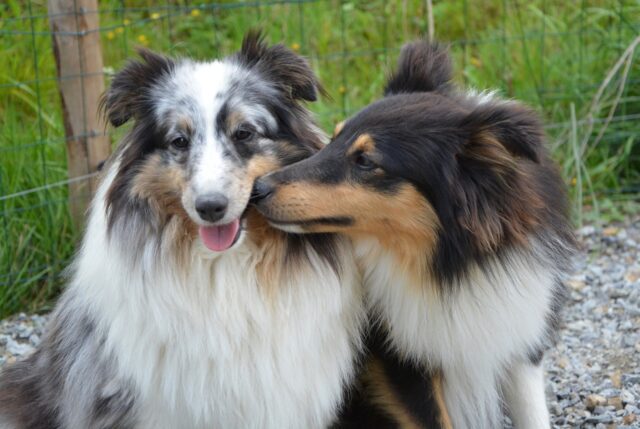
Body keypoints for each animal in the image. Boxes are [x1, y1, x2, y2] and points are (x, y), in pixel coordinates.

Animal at [251, 41, 576, 428]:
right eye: (333, 138)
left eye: (365, 161)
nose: (257, 189)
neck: (450, 266)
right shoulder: (400, 362)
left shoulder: (520, 339)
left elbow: (533, 414)